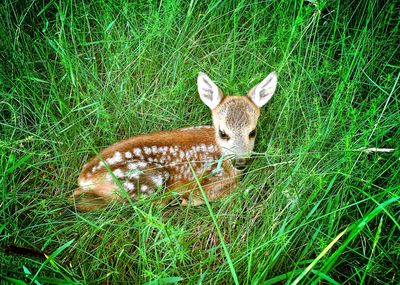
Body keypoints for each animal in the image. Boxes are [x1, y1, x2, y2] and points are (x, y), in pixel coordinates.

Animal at [72, 70, 278, 209]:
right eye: (223, 133)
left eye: (252, 132)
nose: (241, 163)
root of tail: (84, 178)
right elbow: (228, 188)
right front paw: (188, 199)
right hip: (147, 177)